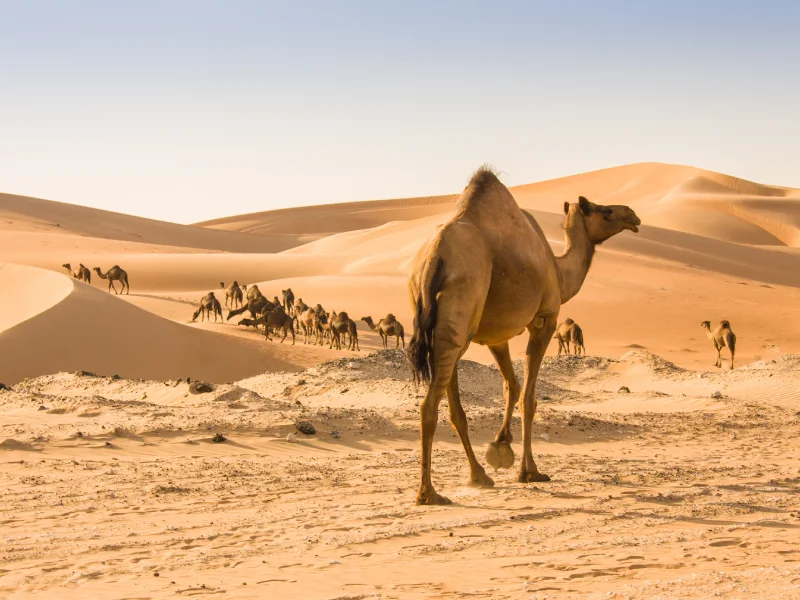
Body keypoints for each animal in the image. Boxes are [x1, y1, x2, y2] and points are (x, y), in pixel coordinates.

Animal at [406, 166, 636, 504]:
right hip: (460, 311)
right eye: (604, 210)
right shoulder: (546, 319)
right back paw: (429, 493)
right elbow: (528, 396)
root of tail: (434, 257)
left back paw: (478, 476)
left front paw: (500, 447)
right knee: (429, 406)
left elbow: (510, 387)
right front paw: (529, 470)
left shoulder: (495, 335)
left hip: (446, 327)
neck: (559, 270)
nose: (632, 215)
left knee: (453, 406)